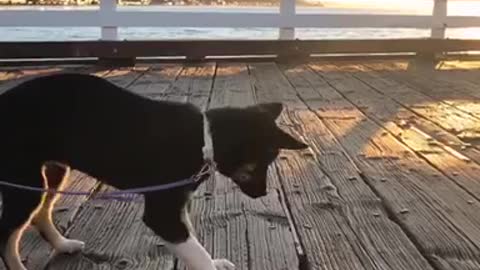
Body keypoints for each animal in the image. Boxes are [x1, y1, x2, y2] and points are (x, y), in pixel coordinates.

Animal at [0, 73, 308, 270]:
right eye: (260, 163)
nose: (263, 193)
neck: (203, 138)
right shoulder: (162, 213)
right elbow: (197, 253)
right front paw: (210, 263)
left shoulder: (178, 206)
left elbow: (193, 243)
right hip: (24, 181)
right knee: (7, 237)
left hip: (52, 172)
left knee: (40, 213)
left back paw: (63, 244)